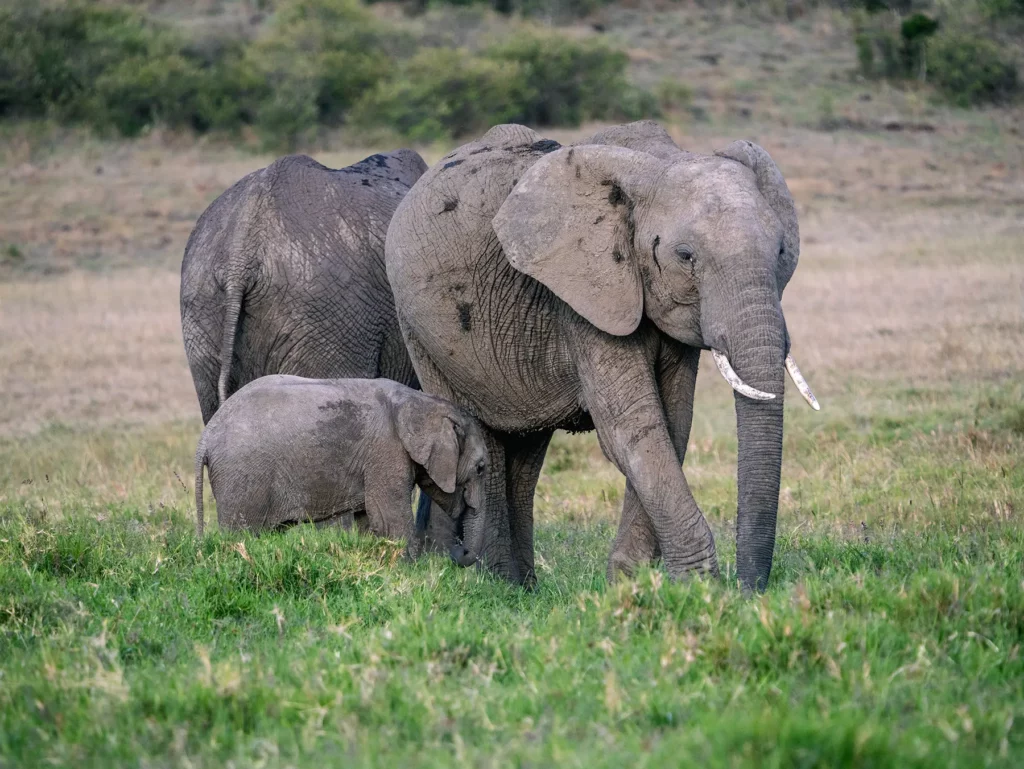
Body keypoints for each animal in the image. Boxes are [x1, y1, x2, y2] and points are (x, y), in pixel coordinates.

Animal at [193, 375, 489, 566]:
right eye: (481, 468)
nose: (458, 553)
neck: (422, 402)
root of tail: (206, 437)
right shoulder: (386, 451)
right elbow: (390, 520)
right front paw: (409, 572)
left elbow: (369, 520)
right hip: (243, 477)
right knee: (240, 534)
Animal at [386, 121, 818, 591]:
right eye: (685, 256)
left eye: (781, 251)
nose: (749, 590)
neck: (659, 162)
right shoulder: (583, 295)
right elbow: (632, 429)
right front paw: (696, 587)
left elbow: (673, 423)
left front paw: (630, 582)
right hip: (420, 332)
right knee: (482, 438)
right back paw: (499, 586)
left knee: (525, 455)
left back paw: (525, 590)